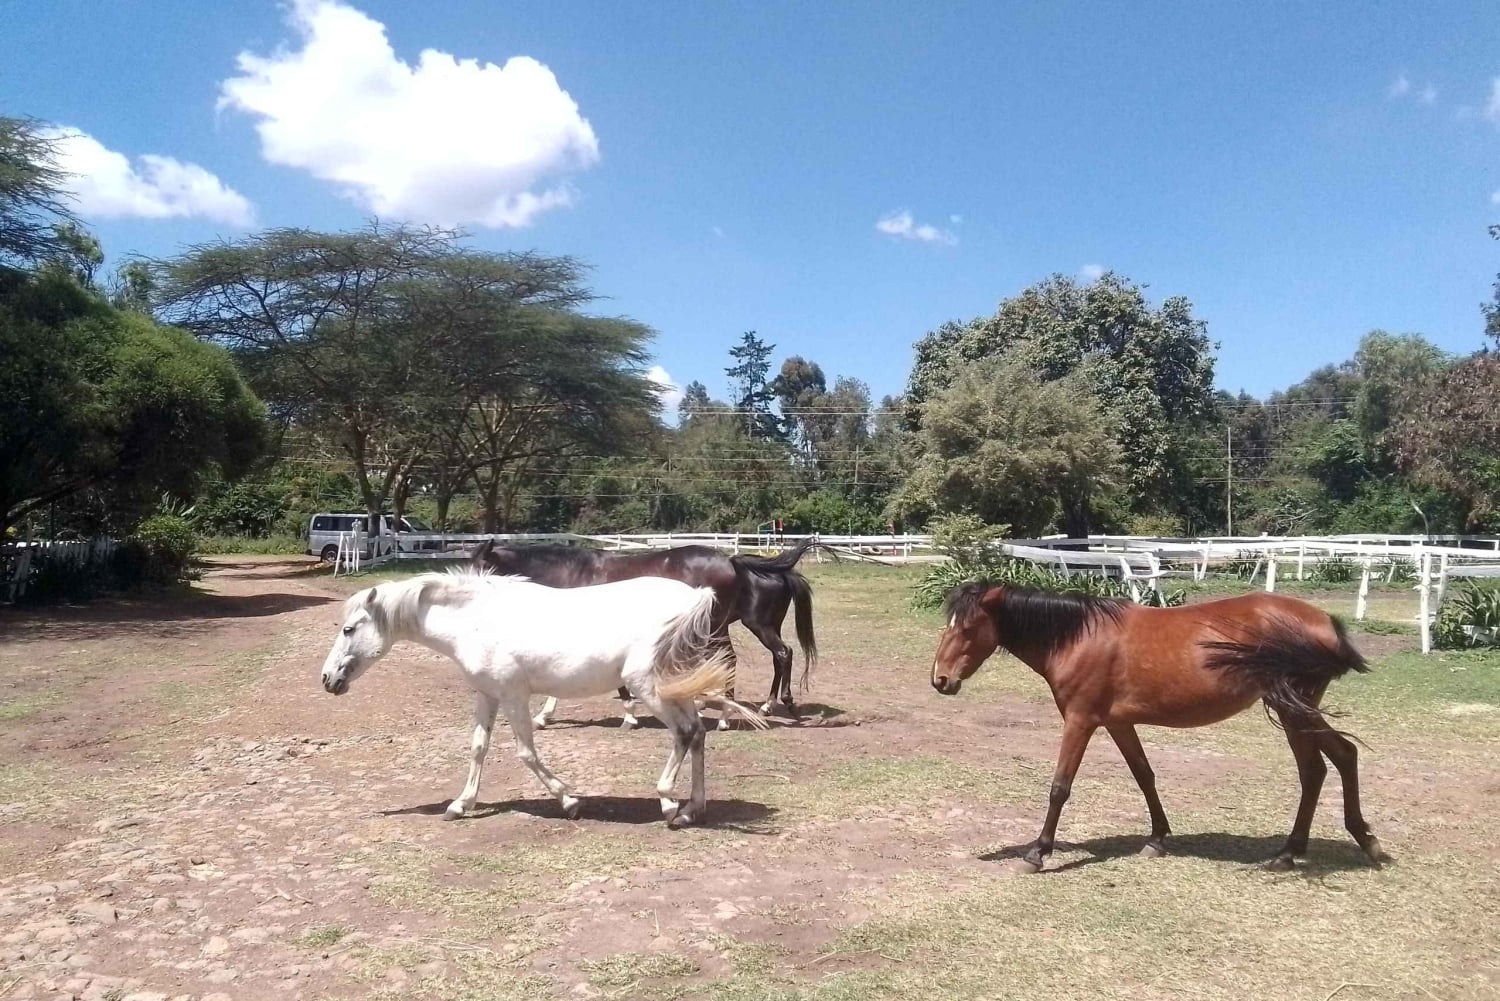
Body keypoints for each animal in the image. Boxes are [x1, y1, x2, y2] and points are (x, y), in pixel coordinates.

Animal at [318, 567, 766, 827]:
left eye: (349, 629)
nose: (327, 679)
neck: (476, 621)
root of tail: (694, 598)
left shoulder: (514, 695)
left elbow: (525, 753)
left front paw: (569, 801)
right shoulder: (487, 694)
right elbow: (478, 748)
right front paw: (461, 805)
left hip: (649, 687)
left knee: (686, 733)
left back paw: (671, 806)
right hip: (677, 687)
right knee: (699, 735)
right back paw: (693, 808)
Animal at [472, 537, 822, 728]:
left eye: (481, 568)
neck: (575, 575)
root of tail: (733, 562)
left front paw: (628, 715)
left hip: (730, 626)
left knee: (758, 657)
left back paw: (737, 712)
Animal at [930, 583, 1386, 872]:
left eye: (967, 628)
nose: (940, 680)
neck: (1078, 637)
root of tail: (1324, 621)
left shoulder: (1080, 720)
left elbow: (1060, 787)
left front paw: (1038, 852)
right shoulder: (1118, 723)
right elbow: (1144, 775)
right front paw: (1157, 839)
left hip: (1294, 709)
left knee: (1336, 759)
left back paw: (1352, 845)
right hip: (1295, 710)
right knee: (1321, 768)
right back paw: (1300, 851)